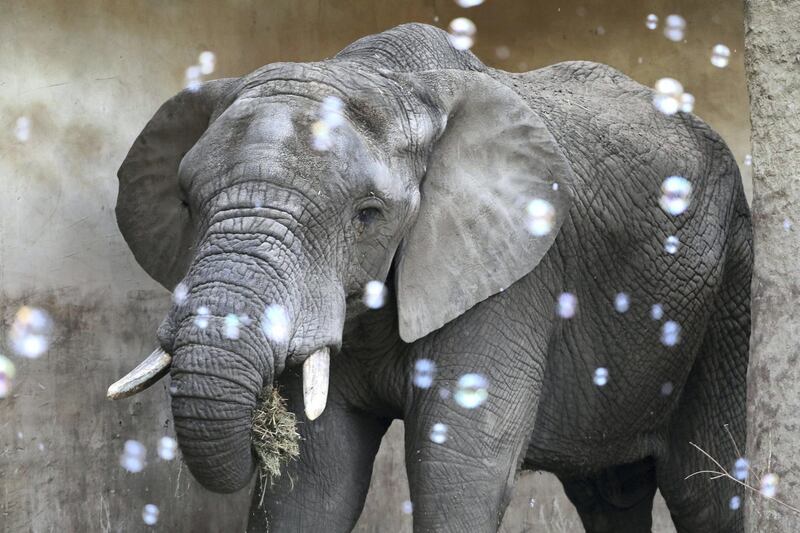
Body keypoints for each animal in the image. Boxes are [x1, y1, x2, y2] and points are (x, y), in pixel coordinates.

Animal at [109, 22, 752, 528]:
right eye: (187, 203)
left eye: (368, 214)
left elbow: (456, 464)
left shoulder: (514, 276)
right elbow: (315, 477)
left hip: (731, 283)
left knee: (703, 488)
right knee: (608, 490)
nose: (258, 435)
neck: (385, 77)